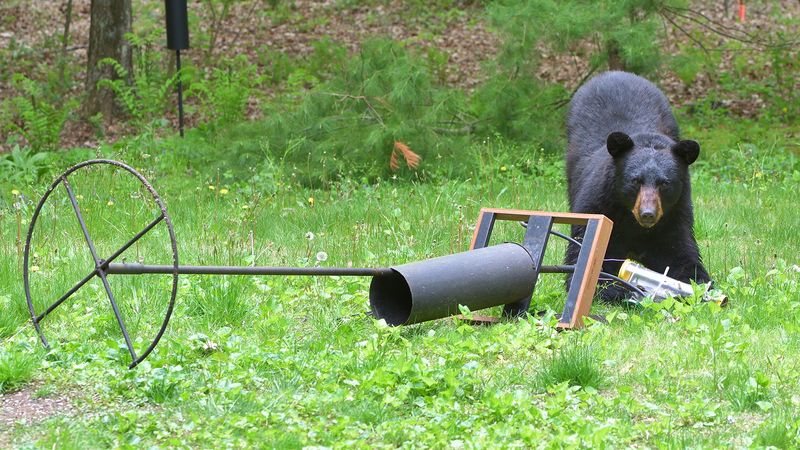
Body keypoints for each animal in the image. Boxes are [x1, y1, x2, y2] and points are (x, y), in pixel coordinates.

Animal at [564, 71, 711, 301]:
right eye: (635, 180)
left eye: (664, 183)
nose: (648, 214)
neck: (634, 223)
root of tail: (614, 73)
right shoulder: (599, 205)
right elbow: (587, 256)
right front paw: (618, 288)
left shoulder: (675, 215)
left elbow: (681, 253)